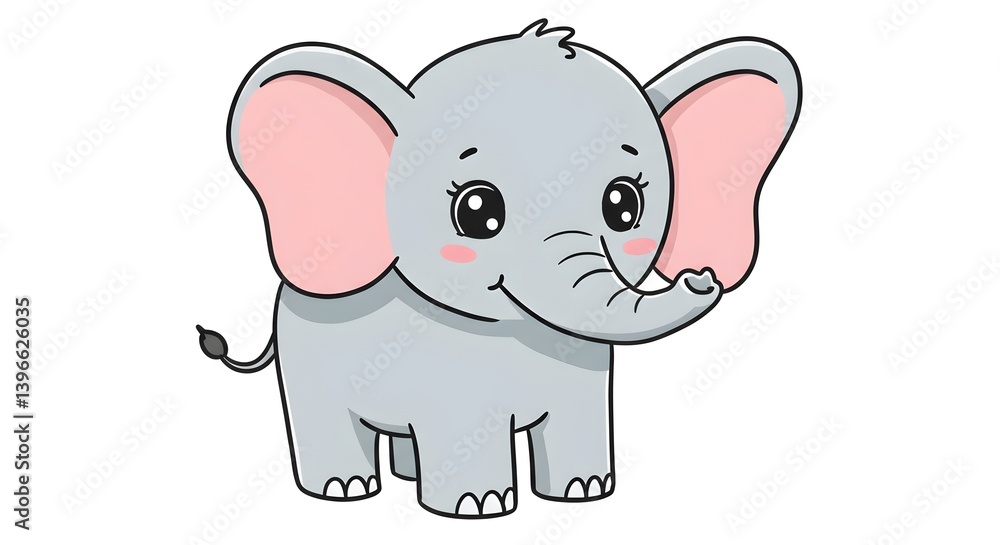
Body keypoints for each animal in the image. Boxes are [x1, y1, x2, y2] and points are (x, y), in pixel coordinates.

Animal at [196, 19, 801, 519]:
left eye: (624, 206)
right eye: (478, 211)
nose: (700, 276)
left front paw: (584, 492)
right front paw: (478, 506)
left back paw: (407, 476)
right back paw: (344, 490)